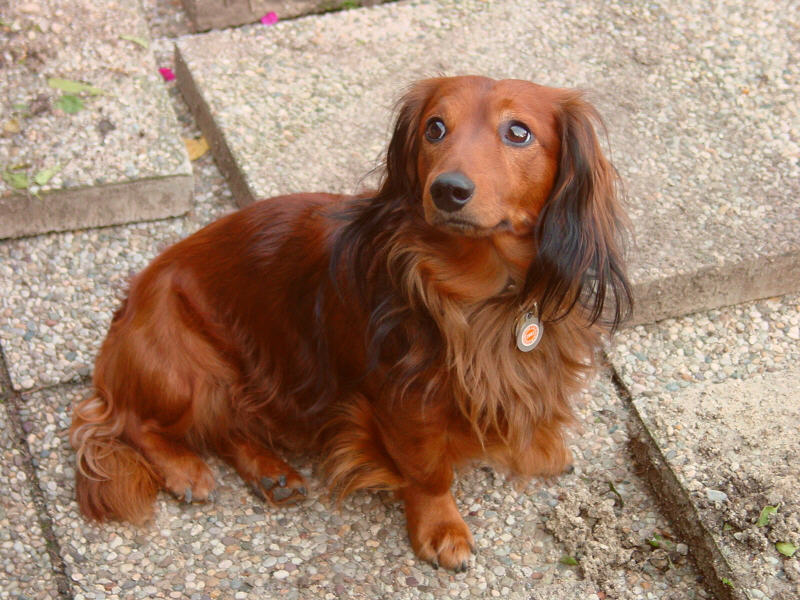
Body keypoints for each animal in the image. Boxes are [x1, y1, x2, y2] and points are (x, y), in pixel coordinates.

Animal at [70, 75, 631, 571]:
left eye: (518, 132)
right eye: (435, 128)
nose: (447, 189)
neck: (481, 294)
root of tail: (126, 310)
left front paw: (541, 449)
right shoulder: (405, 402)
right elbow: (429, 472)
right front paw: (441, 529)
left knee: (226, 425)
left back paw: (270, 473)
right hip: (186, 369)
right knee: (128, 423)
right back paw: (184, 469)